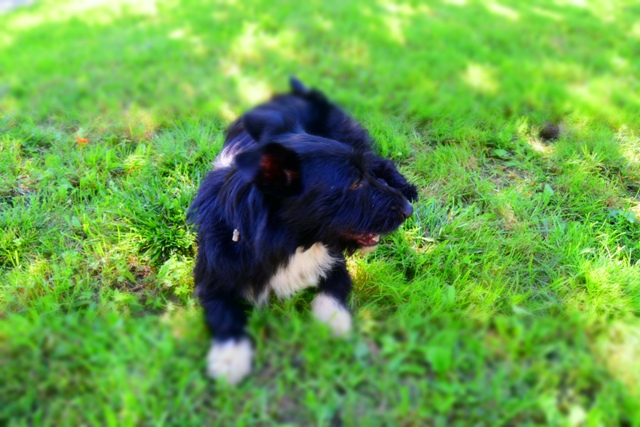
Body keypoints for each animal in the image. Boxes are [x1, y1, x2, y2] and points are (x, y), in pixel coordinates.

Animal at [188, 77, 417, 384]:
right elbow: (223, 314)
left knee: (381, 161)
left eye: (361, 179)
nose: (407, 211)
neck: (293, 242)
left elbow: (330, 295)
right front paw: (229, 360)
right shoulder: (213, 275)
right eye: (354, 183)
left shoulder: (335, 263)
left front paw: (336, 327)